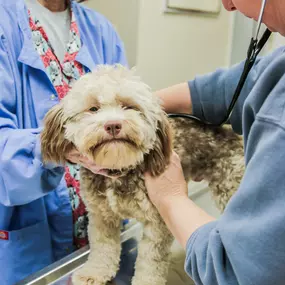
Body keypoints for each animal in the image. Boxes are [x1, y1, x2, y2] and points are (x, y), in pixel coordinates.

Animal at [40, 64, 244, 284]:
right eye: (93, 108)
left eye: (129, 107)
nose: (113, 125)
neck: (119, 169)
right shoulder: (101, 215)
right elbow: (102, 248)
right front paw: (94, 272)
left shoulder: (158, 222)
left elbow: (151, 262)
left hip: (231, 183)